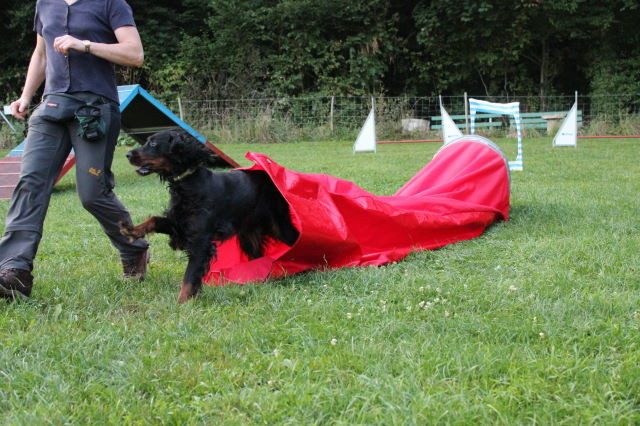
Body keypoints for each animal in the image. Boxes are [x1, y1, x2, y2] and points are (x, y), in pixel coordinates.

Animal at [120, 128, 299, 303]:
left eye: (153, 143)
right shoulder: (179, 224)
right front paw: (132, 230)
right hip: (248, 234)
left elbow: (189, 277)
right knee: (257, 255)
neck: (188, 183)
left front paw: (182, 303)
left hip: (279, 226)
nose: (127, 154)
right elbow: (154, 220)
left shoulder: (200, 242)